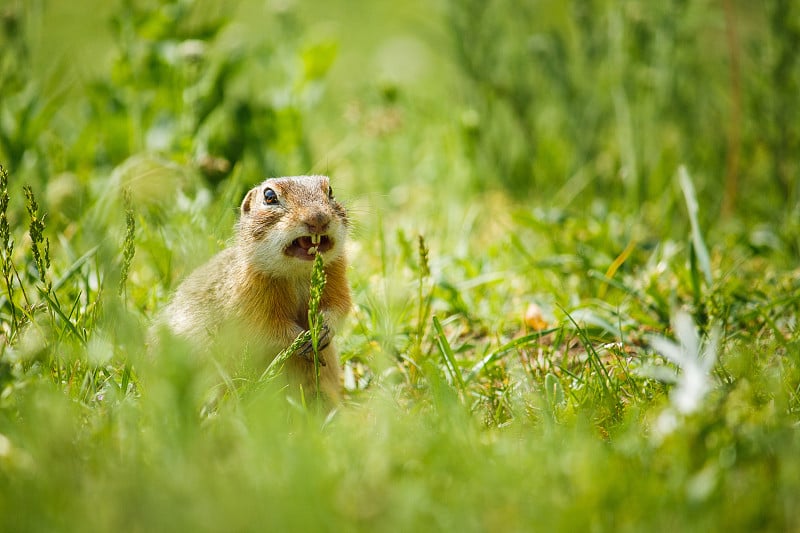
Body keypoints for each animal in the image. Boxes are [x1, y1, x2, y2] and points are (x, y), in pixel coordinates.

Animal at [162, 175, 350, 400]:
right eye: (269, 196)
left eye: (330, 191)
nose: (318, 218)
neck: (298, 273)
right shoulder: (251, 298)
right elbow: (268, 327)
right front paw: (301, 340)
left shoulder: (337, 279)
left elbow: (340, 307)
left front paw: (323, 330)